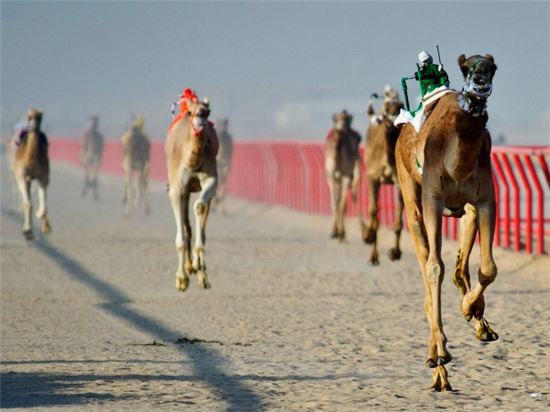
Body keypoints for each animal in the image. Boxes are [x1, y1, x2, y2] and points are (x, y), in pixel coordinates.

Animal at [9, 108, 51, 240]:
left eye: (39, 118)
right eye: (29, 117)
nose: (34, 126)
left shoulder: (43, 176)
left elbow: (43, 203)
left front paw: (45, 225)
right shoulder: (21, 175)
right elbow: (28, 204)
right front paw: (27, 231)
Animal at [165, 98, 219, 292]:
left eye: (208, 111)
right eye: (190, 112)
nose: (200, 117)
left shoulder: (211, 179)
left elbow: (200, 206)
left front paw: (197, 265)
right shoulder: (176, 189)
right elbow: (180, 238)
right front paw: (181, 280)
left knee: (200, 225)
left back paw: (201, 273)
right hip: (184, 191)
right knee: (186, 226)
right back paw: (188, 269)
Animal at [326, 109, 364, 241]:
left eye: (359, 138)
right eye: (336, 120)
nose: (341, 126)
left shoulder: (347, 175)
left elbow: (342, 204)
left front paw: (340, 233)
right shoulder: (331, 176)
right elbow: (334, 203)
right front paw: (334, 232)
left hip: (351, 175)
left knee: (351, 197)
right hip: (339, 178)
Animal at [396, 53, 500, 392]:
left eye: (493, 67)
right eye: (465, 67)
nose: (480, 80)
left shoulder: (485, 199)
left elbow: (488, 268)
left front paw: (471, 310)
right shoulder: (432, 198)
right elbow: (433, 268)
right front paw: (440, 352)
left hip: (465, 211)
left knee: (459, 268)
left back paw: (480, 324)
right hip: (411, 196)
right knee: (428, 267)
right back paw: (437, 364)